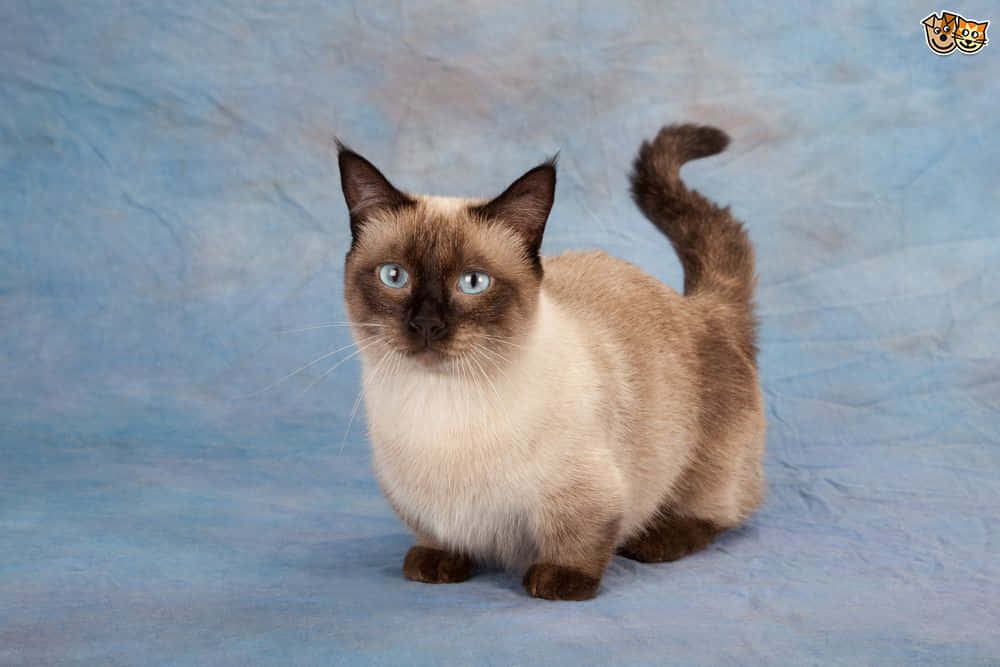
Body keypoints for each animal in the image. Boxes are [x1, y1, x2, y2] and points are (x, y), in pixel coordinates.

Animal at [338, 124, 764, 600]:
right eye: (394, 276)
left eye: (473, 282)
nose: (426, 324)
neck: (442, 404)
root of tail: (699, 307)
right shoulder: (417, 498)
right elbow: (436, 532)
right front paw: (437, 562)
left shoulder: (584, 493)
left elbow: (578, 538)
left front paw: (560, 581)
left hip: (700, 467)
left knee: (719, 512)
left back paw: (654, 541)